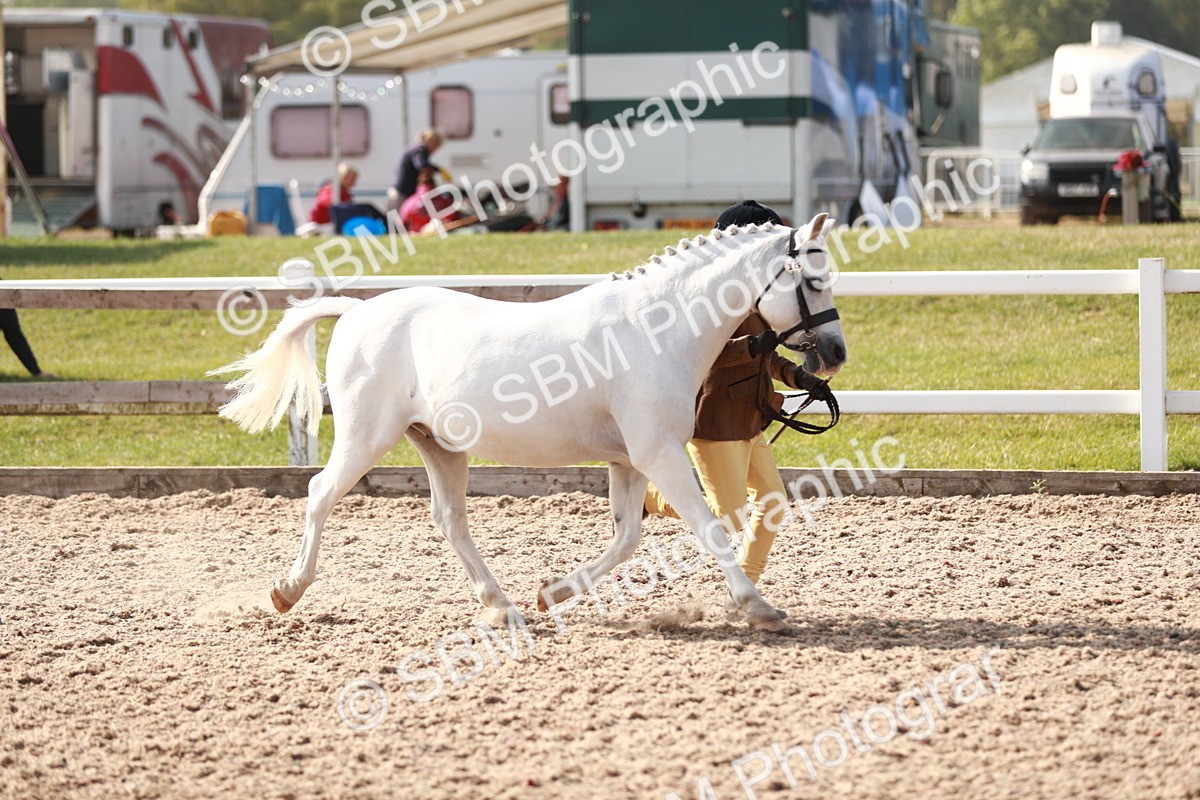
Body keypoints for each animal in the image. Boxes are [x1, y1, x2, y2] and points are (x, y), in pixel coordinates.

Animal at [212, 214, 847, 631]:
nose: (835, 354)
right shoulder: (658, 452)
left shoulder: (630, 459)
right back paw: (287, 592)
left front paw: (552, 592)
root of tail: (356, 311)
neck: (657, 328)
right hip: (367, 437)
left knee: (450, 520)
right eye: (813, 280)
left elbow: (626, 540)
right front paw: (758, 607)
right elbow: (707, 528)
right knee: (321, 493)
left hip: (440, 446)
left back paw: (504, 607)